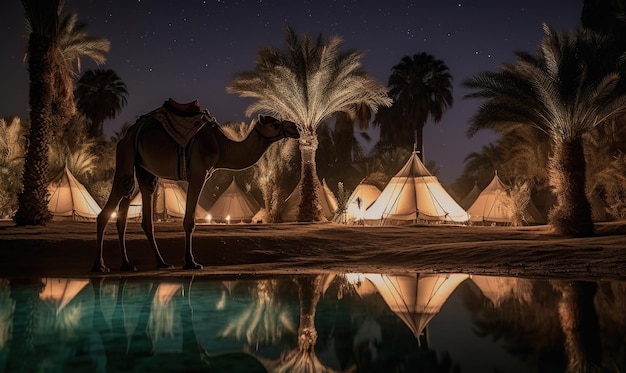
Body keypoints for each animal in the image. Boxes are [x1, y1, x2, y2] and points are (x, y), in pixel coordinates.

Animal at [91, 100, 298, 272]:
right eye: (275, 124)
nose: (295, 127)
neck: (221, 146)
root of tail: (128, 133)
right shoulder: (199, 173)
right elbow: (189, 221)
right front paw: (191, 262)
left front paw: (187, 260)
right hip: (126, 155)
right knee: (111, 204)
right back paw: (100, 266)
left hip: (143, 169)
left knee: (134, 212)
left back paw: (144, 263)